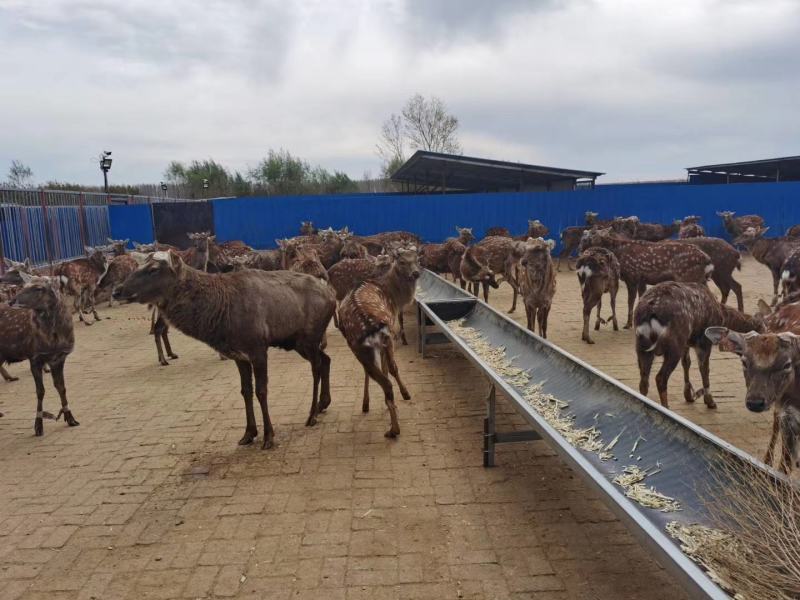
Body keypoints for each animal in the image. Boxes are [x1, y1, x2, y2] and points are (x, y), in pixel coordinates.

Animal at [0, 274, 80, 434]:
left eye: (38, 288)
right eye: (23, 285)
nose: (12, 301)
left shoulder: (59, 357)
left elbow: (61, 387)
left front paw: (70, 418)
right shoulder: (34, 356)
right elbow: (40, 391)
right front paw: (38, 426)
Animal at [115, 251, 336, 448]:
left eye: (153, 269)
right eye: (138, 265)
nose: (117, 290)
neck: (221, 314)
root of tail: (332, 295)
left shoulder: (258, 349)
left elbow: (261, 391)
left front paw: (268, 436)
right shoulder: (239, 355)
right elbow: (245, 391)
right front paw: (249, 433)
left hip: (310, 338)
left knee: (316, 367)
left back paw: (312, 414)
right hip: (298, 343)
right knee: (326, 359)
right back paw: (323, 404)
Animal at [337, 246, 421, 438]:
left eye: (417, 259)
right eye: (401, 261)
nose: (416, 273)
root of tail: (370, 325)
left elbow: (381, 370)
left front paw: (368, 404)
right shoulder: (390, 334)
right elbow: (391, 368)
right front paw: (405, 394)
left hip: (358, 347)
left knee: (375, 375)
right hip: (381, 340)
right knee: (384, 377)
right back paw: (393, 427)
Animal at [580, 228, 713, 329]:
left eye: (593, 234)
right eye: (584, 234)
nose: (580, 247)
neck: (619, 253)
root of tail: (707, 260)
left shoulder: (632, 276)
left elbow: (630, 300)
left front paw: (628, 324)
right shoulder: (641, 280)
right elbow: (641, 298)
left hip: (688, 276)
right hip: (700, 278)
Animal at [635, 281, 762, 409]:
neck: (721, 317)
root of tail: (649, 311)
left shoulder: (687, 343)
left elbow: (687, 363)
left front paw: (688, 396)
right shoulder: (704, 342)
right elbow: (704, 369)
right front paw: (710, 401)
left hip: (642, 347)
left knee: (644, 380)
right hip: (674, 346)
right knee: (660, 378)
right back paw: (666, 407)